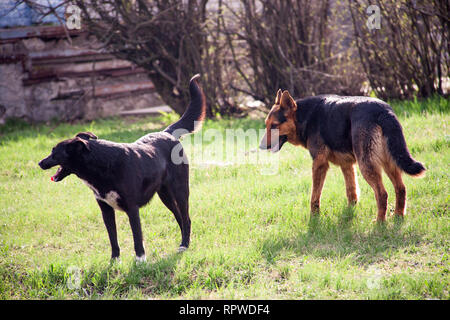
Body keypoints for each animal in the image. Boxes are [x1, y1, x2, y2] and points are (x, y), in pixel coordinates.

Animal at [37, 75, 207, 260]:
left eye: (54, 153)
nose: (40, 163)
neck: (102, 164)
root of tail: (167, 133)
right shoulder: (105, 210)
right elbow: (113, 237)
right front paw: (115, 260)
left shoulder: (132, 208)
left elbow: (137, 237)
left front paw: (140, 260)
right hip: (165, 195)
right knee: (180, 217)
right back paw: (183, 243)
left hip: (180, 190)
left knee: (186, 218)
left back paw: (184, 245)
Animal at [260, 89, 426, 221]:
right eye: (266, 125)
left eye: (274, 126)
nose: (260, 147)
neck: (304, 116)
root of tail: (383, 111)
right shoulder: (347, 165)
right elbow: (351, 191)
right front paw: (349, 212)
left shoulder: (319, 164)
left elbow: (314, 196)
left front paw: (313, 219)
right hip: (389, 162)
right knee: (401, 188)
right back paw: (398, 215)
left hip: (367, 165)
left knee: (382, 194)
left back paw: (379, 222)